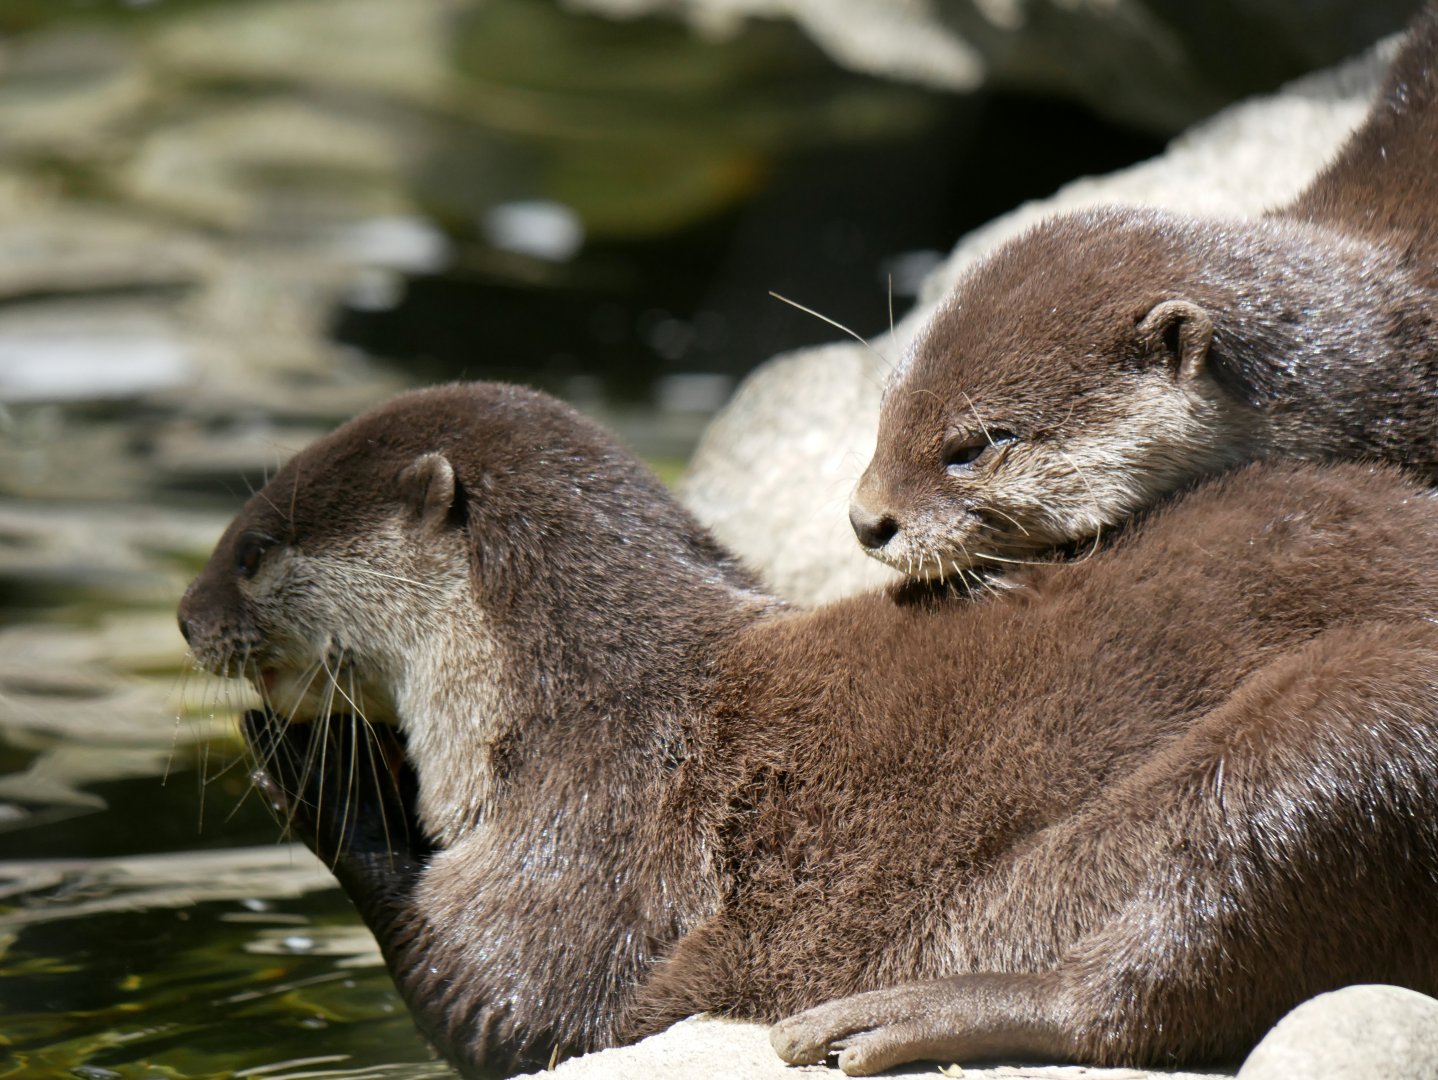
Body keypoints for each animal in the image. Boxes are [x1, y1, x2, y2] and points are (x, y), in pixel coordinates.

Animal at [179, 382, 1438, 1077]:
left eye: (253, 549)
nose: (185, 617)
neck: (554, 695)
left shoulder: (597, 818)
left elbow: (515, 1004)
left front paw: (316, 773)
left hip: (1349, 726)